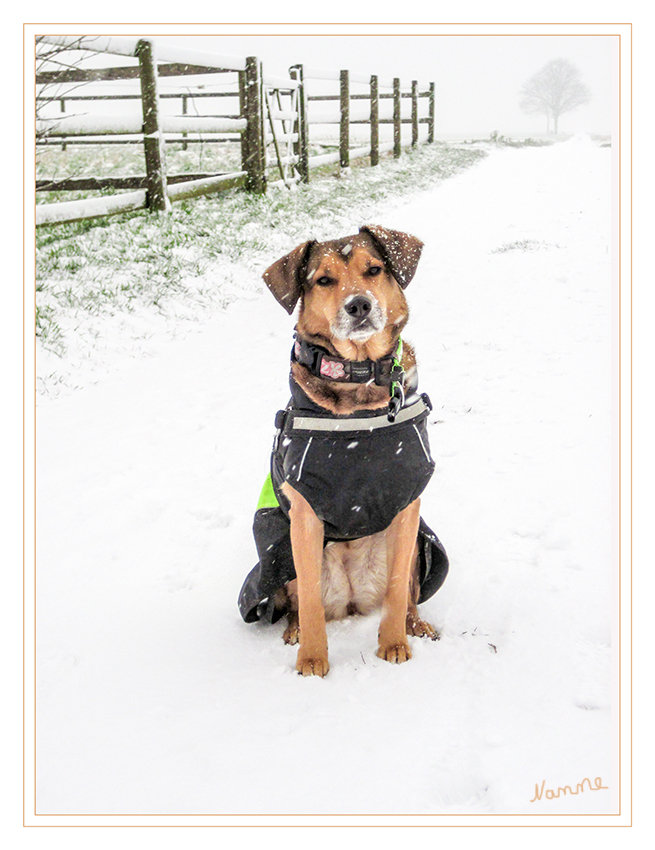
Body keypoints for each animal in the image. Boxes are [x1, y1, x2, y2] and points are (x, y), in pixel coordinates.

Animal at [238, 225, 448, 676]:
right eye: (323, 280)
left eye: (374, 269)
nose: (359, 304)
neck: (359, 381)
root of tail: (352, 602)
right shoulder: (305, 514)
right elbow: (309, 598)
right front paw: (312, 658)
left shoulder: (407, 503)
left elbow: (396, 589)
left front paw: (394, 643)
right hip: (282, 552)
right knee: (296, 601)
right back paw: (295, 631)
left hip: (417, 546)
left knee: (408, 593)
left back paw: (416, 625)